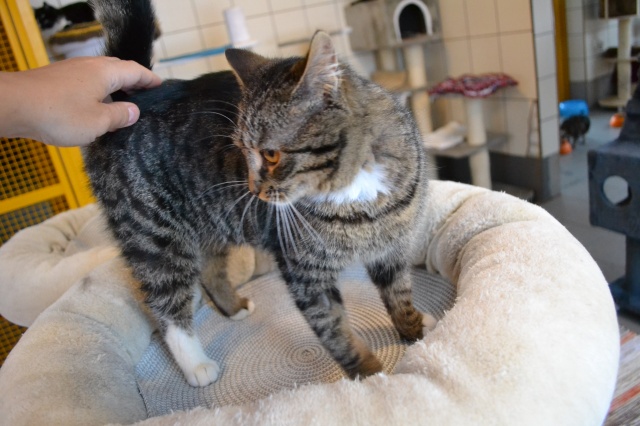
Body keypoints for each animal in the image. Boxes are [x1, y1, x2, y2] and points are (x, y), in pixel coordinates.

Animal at [86, 0, 432, 387]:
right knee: (166, 304)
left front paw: (416, 330)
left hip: (210, 222)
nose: (253, 188)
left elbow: (399, 295)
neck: (355, 196)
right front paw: (371, 376)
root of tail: (132, 99)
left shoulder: (391, 248)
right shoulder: (305, 272)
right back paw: (196, 364)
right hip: (154, 238)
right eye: (241, 150)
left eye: (270, 154)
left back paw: (232, 307)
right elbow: (337, 331)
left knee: (210, 270)